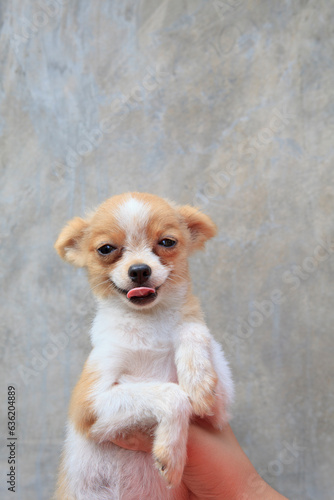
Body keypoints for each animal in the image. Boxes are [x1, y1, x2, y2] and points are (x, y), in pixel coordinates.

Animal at [54, 192, 232, 500]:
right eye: (106, 249)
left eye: (167, 242)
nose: (139, 270)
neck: (148, 323)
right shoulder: (88, 405)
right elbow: (172, 394)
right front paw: (172, 454)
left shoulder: (217, 415)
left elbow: (192, 328)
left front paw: (197, 378)